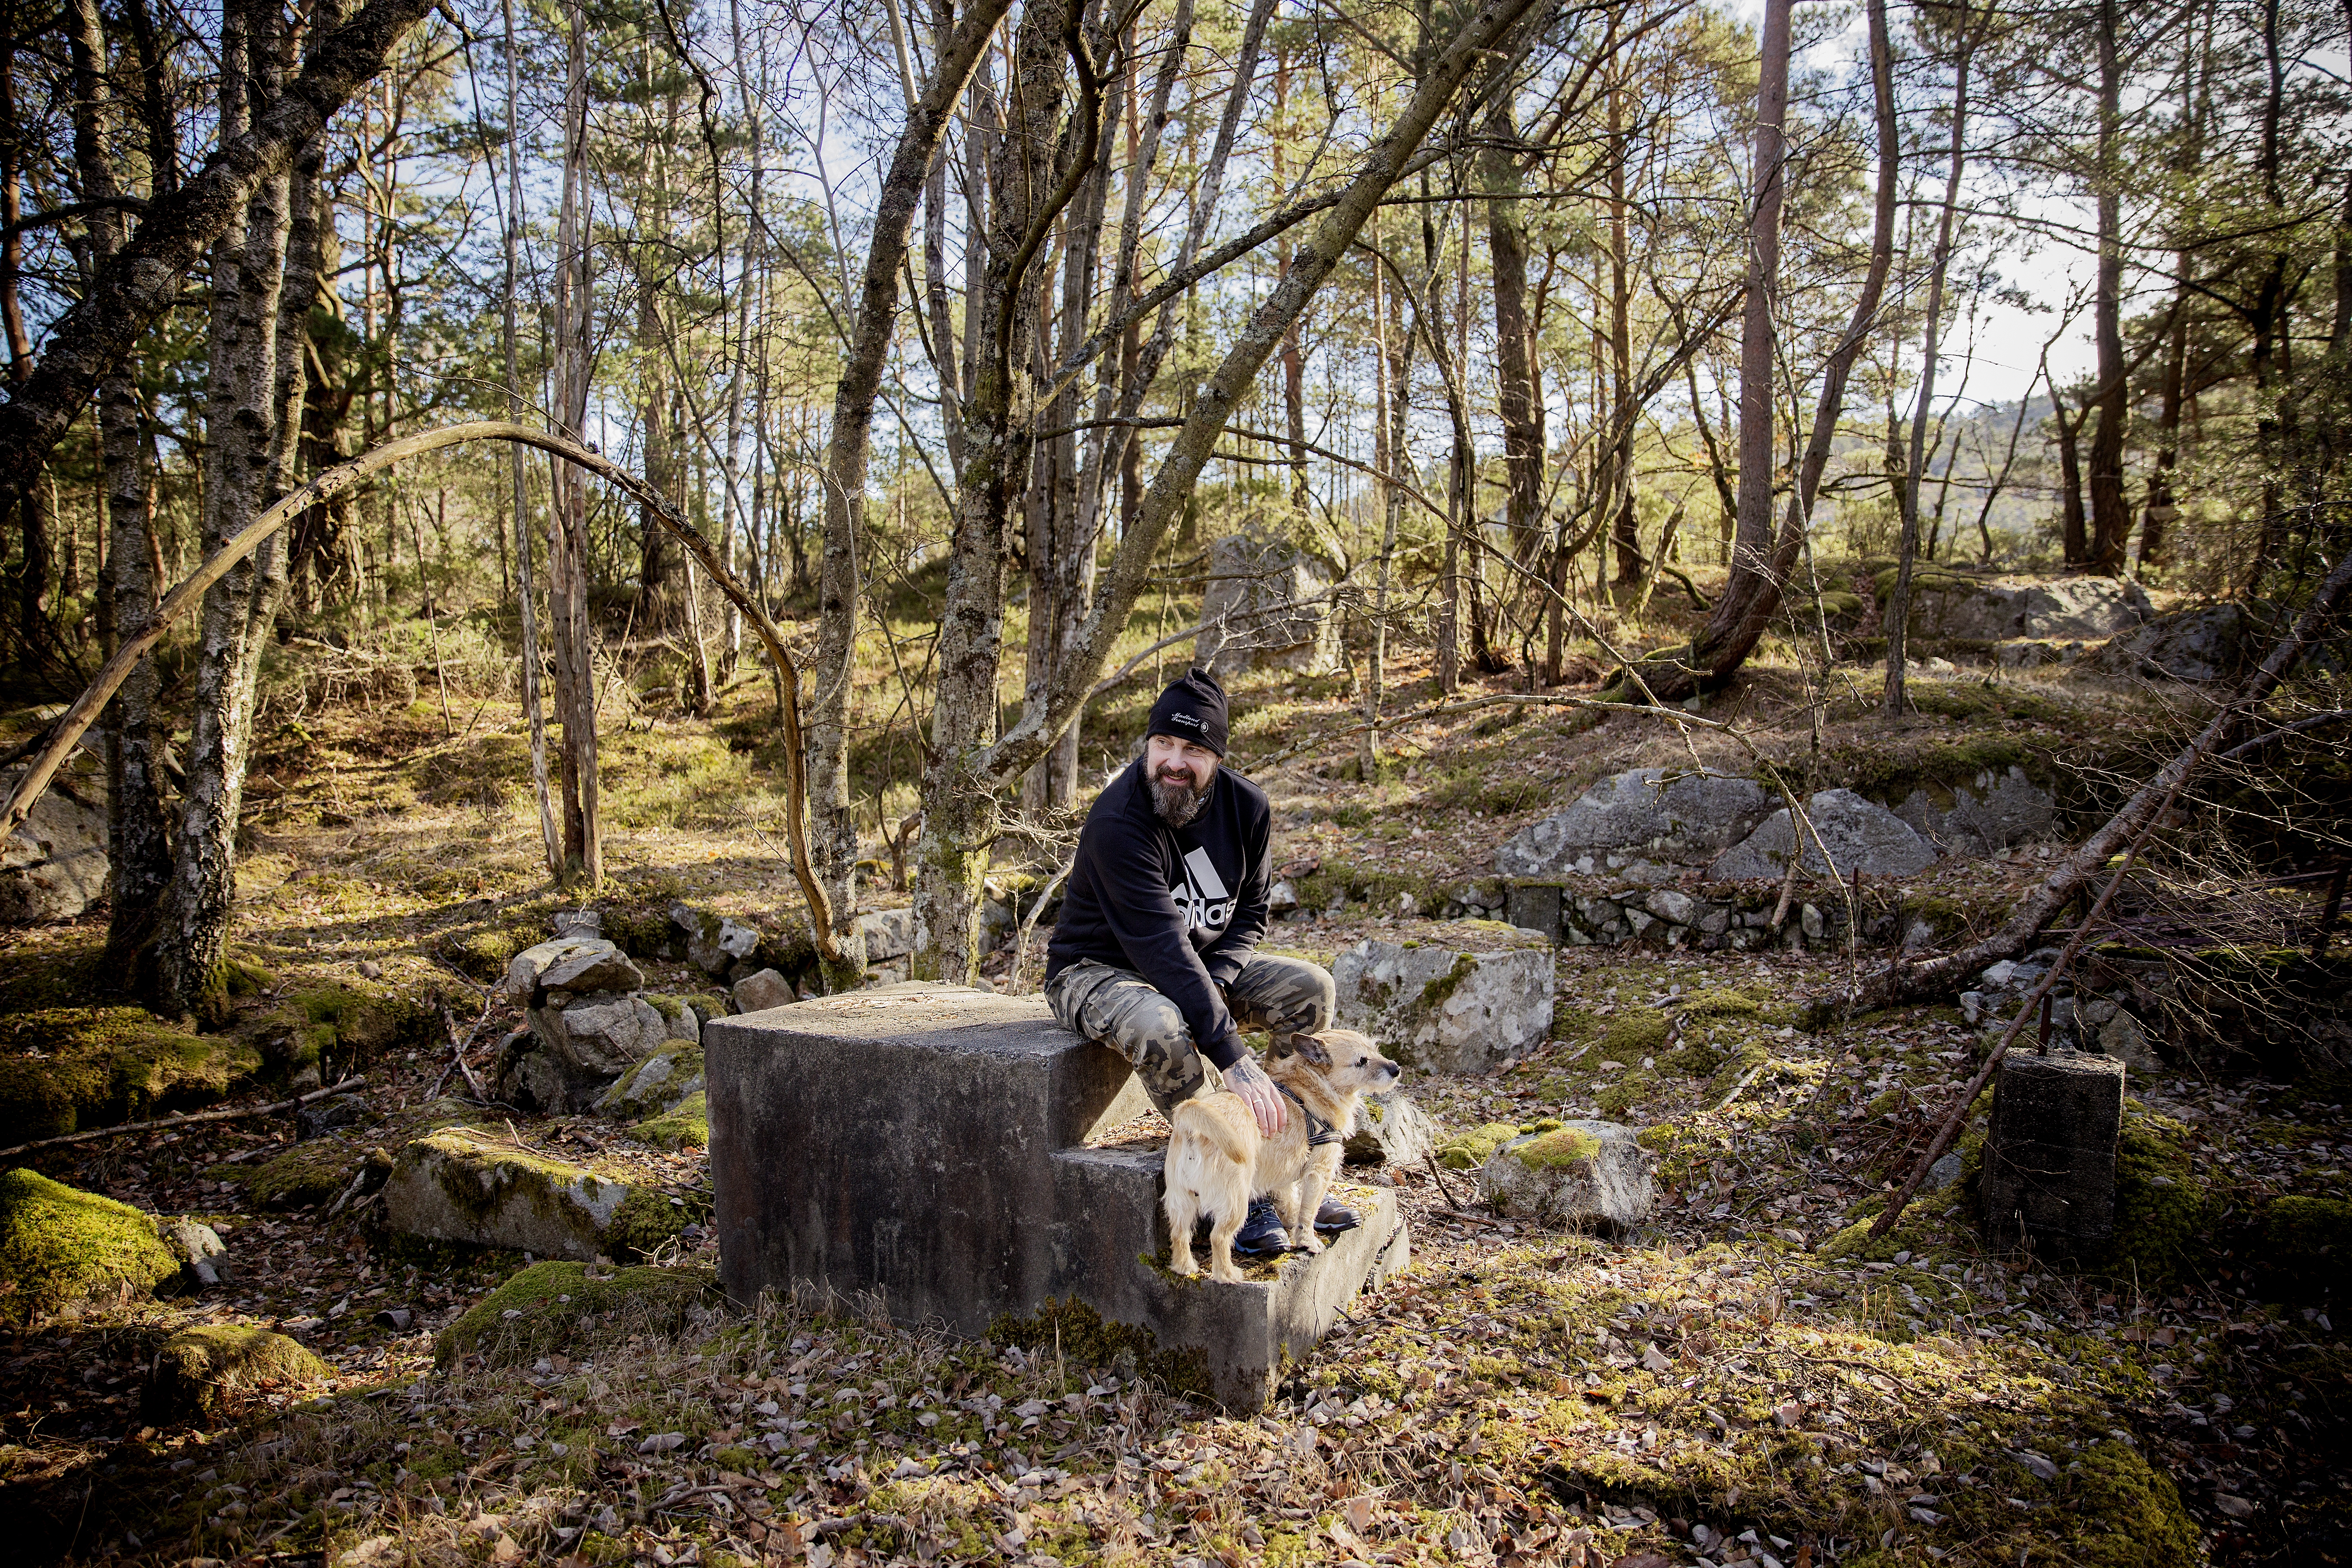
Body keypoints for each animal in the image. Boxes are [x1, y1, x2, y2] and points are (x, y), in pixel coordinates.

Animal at [1157, 1029, 1392, 1288]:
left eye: (1376, 1050)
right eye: (1361, 1061)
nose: (1396, 1069)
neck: (1316, 1083)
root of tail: (1192, 1121)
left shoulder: (1284, 1176)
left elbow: (1291, 1203)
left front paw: (1292, 1226)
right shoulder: (1318, 1172)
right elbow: (1308, 1213)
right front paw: (1308, 1242)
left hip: (1181, 1201)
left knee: (1179, 1234)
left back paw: (1185, 1268)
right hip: (1235, 1203)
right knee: (1218, 1238)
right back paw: (1228, 1275)